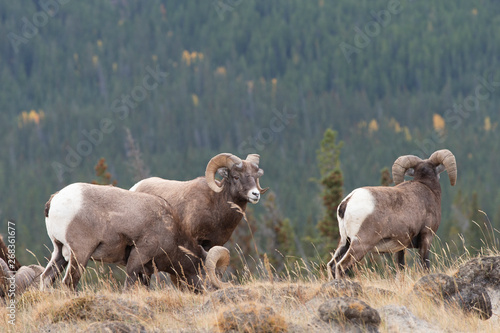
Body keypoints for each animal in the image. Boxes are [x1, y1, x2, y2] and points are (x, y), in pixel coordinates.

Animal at [41, 183, 230, 290]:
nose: (215, 291)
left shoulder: (146, 269)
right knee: (70, 282)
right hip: (80, 253)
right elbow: (129, 284)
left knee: (46, 278)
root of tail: (54, 200)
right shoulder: (139, 256)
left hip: (59, 252)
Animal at [328, 148, 458, 278]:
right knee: (341, 266)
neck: (428, 188)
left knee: (332, 265)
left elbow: (400, 267)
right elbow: (425, 264)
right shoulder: (426, 236)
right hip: (360, 244)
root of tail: (347, 202)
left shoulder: (400, 246)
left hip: (345, 242)